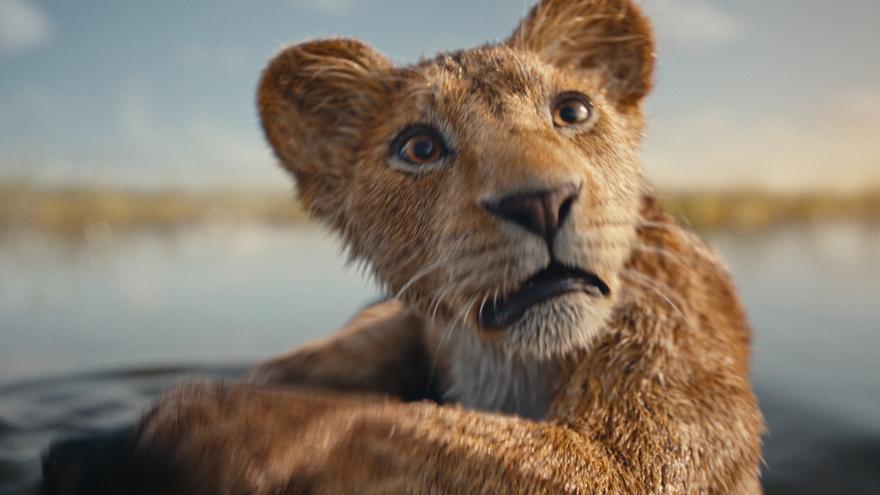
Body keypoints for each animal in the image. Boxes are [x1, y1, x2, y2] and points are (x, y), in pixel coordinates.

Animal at [41, 0, 764, 493]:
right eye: (419, 147)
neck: (506, 360)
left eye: (573, 111)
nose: (542, 201)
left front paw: (202, 425)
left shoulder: (645, 454)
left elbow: (392, 425)